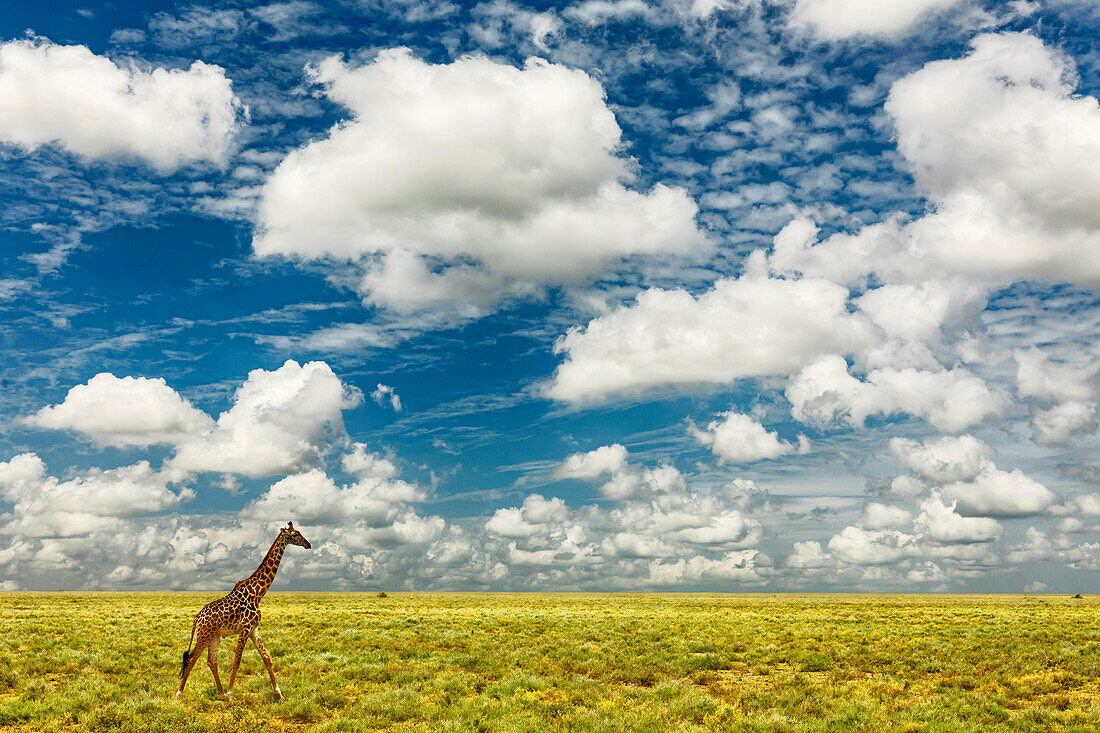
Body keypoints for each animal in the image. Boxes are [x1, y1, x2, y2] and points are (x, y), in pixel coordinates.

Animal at [177, 517, 312, 699]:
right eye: (295, 534)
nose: (308, 544)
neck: (258, 593)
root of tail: (196, 618)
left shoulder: (254, 629)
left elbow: (267, 658)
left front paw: (279, 694)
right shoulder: (245, 628)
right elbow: (237, 660)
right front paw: (231, 693)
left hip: (214, 636)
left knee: (211, 661)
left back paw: (221, 695)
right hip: (204, 634)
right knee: (192, 659)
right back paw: (180, 694)